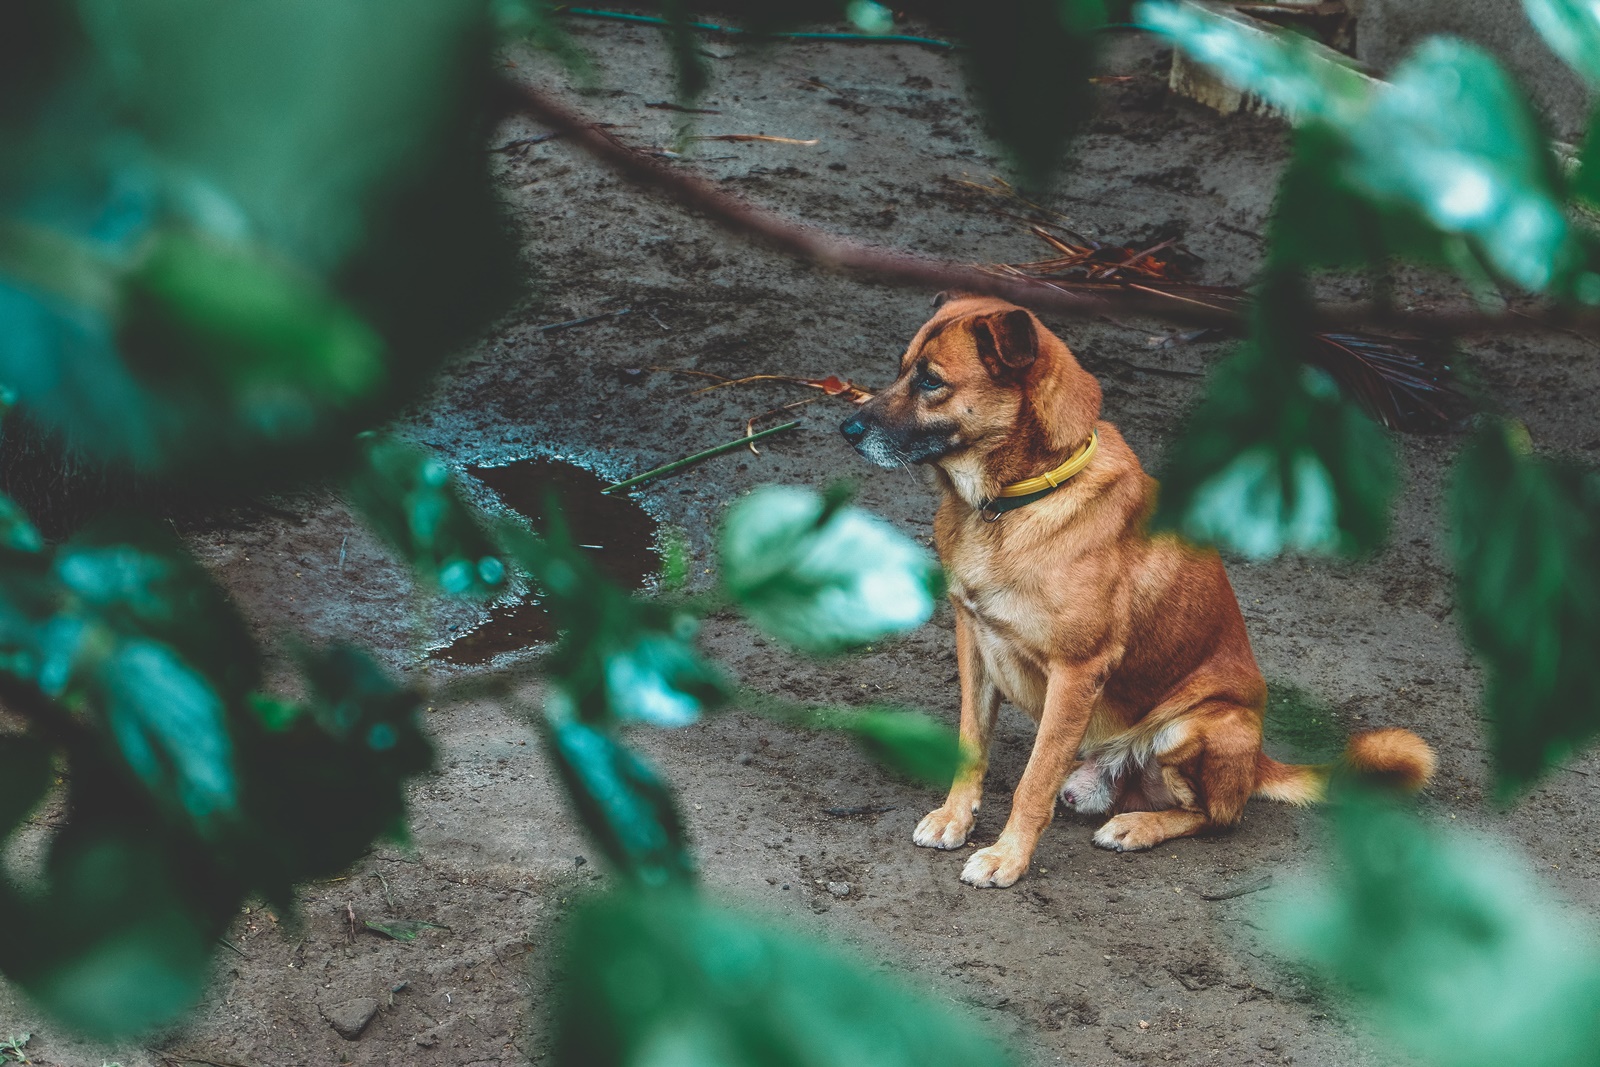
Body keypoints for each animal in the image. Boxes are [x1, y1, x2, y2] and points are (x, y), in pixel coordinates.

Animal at [838, 295, 1440, 889]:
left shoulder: (1078, 670)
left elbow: (1033, 781)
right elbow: (971, 742)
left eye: (932, 381)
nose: (846, 426)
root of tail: (1257, 763)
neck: (1013, 503)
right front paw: (955, 818)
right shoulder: (974, 642)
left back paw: (1139, 826)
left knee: (1216, 817)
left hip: (1196, 727)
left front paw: (1008, 856)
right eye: (901, 369)